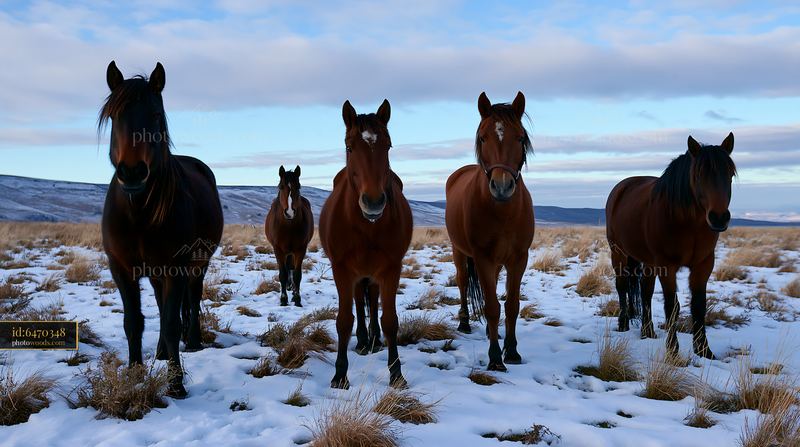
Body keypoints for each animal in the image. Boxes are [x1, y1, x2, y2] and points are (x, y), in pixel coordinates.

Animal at [100, 61, 224, 398]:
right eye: (114, 116)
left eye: (156, 114)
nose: (132, 172)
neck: (139, 213)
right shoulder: (121, 268)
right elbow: (133, 321)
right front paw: (134, 373)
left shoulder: (175, 267)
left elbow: (170, 321)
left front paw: (176, 383)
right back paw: (161, 351)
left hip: (197, 263)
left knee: (191, 299)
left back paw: (191, 342)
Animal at [265, 165, 314, 307]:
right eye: (281, 187)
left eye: (298, 186)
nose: (290, 212)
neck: (288, 226)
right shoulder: (278, 249)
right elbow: (282, 274)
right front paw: (283, 300)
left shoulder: (300, 249)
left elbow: (297, 274)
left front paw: (297, 299)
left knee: (291, 268)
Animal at [319, 99, 413, 389]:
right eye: (350, 147)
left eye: (388, 146)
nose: (373, 202)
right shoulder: (342, 269)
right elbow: (344, 320)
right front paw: (340, 374)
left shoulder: (391, 269)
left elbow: (390, 320)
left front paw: (396, 373)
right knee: (360, 304)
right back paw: (362, 341)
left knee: (371, 300)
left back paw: (373, 340)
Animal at [445, 92, 535, 372]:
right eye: (483, 137)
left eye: (520, 137)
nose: (502, 187)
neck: (503, 213)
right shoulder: (482, 257)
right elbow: (493, 306)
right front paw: (496, 357)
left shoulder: (519, 258)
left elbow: (512, 305)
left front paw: (512, 350)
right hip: (459, 251)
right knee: (463, 282)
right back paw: (465, 322)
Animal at [606, 133, 736, 359]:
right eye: (698, 174)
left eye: (729, 173)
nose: (719, 218)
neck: (689, 224)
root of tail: (621, 188)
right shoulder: (667, 266)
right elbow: (672, 306)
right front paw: (673, 351)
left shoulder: (703, 265)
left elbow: (698, 306)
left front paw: (704, 350)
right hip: (619, 253)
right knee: (622, 286)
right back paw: (623, 325)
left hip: (648, 261)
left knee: (645, 292)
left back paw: (647, 332)